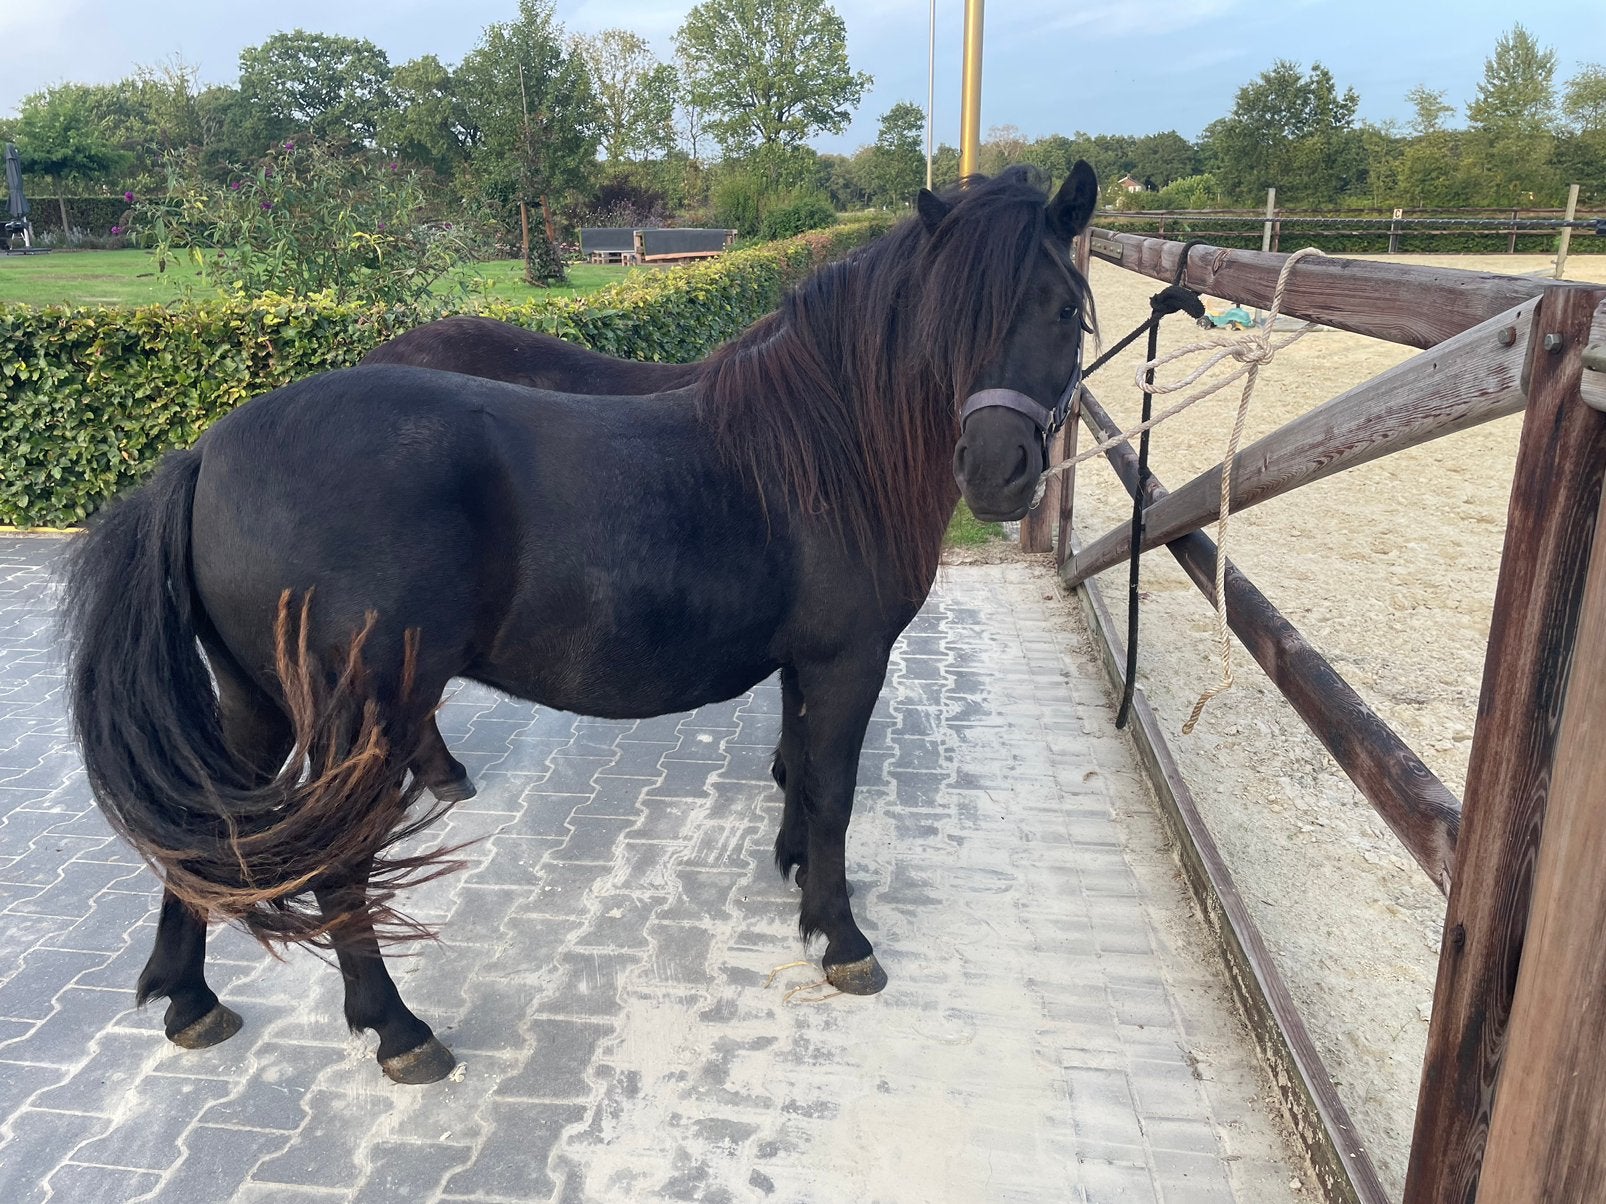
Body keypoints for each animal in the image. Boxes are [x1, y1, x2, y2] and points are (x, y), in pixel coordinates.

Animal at [60, 164, 1099, 1085]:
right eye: (954, 319)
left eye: (1061, 308)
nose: (997, 472)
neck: (829, 447)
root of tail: (206, 454)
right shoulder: (849, 661)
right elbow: (834, 791)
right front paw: (841, 937)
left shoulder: (807, 664)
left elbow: (803, 776)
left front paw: (797, 872)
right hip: (361, 725)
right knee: (338, 867)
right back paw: (398, 1030)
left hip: (256, 704)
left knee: (205, 834)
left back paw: (191, 1000)